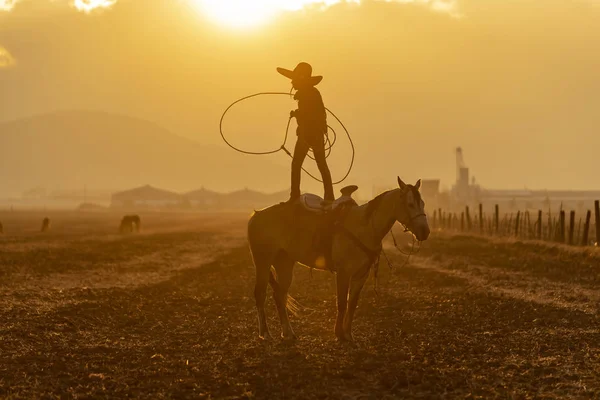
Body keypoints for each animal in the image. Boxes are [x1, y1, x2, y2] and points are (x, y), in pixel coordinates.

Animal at [250, 177, 432, 342]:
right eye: (410, 204)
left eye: (423, 203)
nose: (425, 231)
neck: (363, 227)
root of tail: (256, 215)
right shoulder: (343, 273)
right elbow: (342, 303)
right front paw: (339, 333)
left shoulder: (361, 275)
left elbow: (352, 304)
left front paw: (348, 334)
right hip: (263, 262)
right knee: (260, 294)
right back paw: (265, 334)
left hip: (284, 263)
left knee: (279, 295)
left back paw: (288, 333)